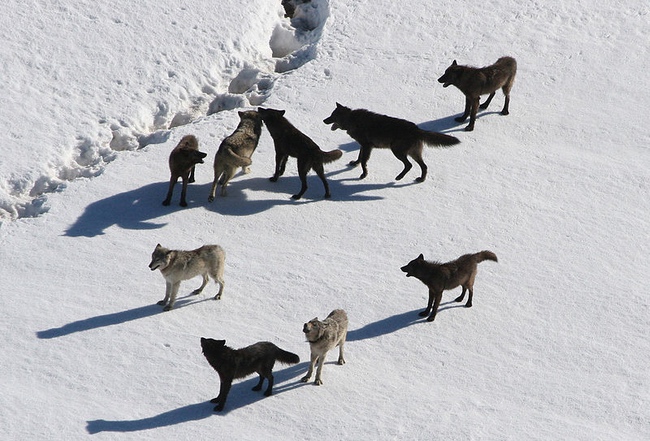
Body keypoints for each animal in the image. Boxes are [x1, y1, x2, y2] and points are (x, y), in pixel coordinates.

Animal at [323, 103, 460, 181]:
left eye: (332, 116)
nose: (324, 120)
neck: (351, 119)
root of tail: (417, 129)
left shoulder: (367, 146)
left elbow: (363, 161)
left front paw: (364, 174)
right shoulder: (363, 145)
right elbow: (360, 157)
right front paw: (354, 164)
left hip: (397, 151)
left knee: (409, 165)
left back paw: (399, 177)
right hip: (413, 153)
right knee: (424, 166)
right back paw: (420, 179)